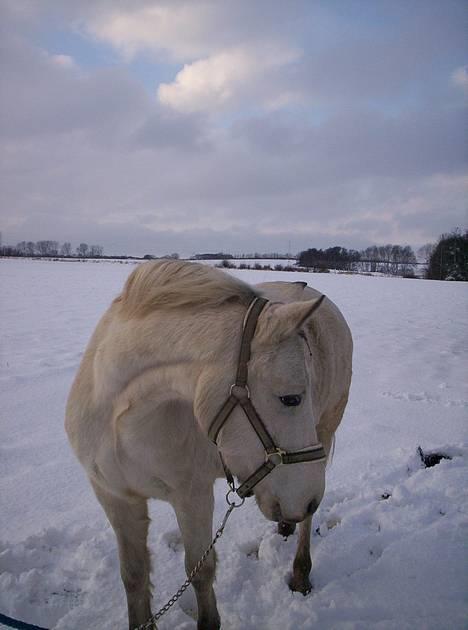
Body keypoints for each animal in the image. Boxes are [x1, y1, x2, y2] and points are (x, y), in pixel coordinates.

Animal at [65, 260, 352, 628]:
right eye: (291, 398)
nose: (308, 500)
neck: (120, 421)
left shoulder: (193, 497)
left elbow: (199, 571)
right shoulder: (114, 497)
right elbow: (134, 575)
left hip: (325, 433)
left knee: (307, 524)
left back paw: (301, 572)